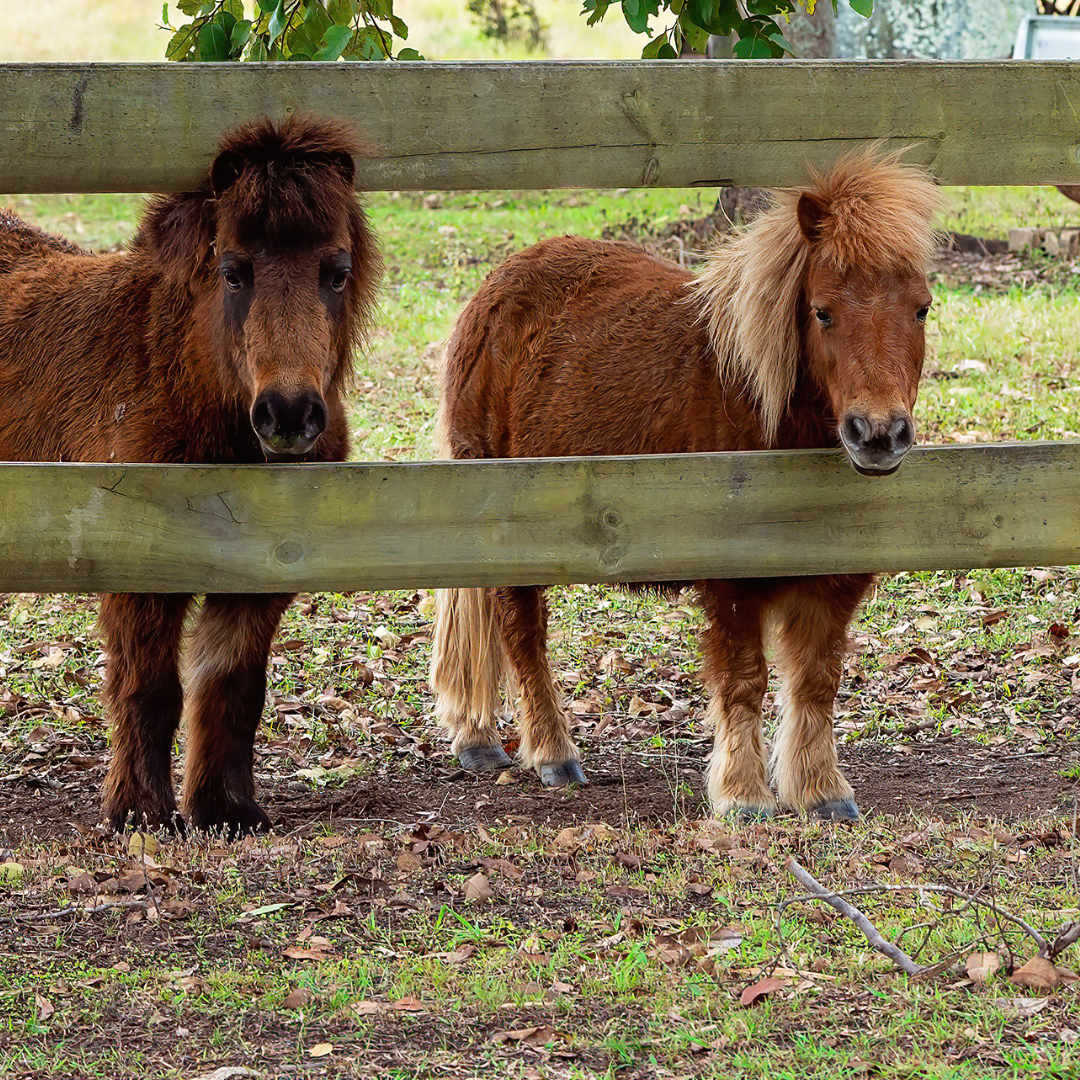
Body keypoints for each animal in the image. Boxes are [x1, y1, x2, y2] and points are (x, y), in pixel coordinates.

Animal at [0, 116, 380, 835]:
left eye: (337, 273)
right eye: (233, 272)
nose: (289, 416)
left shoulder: (259, 572)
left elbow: (230, 689)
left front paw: (223, 809)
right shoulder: (140, 567)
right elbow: (148, 690)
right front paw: (140, 811)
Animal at [429, 149, 941, 821]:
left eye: (922, 308)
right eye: (823, 311)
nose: (878, 435)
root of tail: (492, 292)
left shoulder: (835, 581)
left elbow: (815, 682)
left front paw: (821, 792)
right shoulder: (730, 580)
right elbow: (745, 680)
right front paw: (744, 797)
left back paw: (482, 738)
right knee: (521, 632)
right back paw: (551, 753)